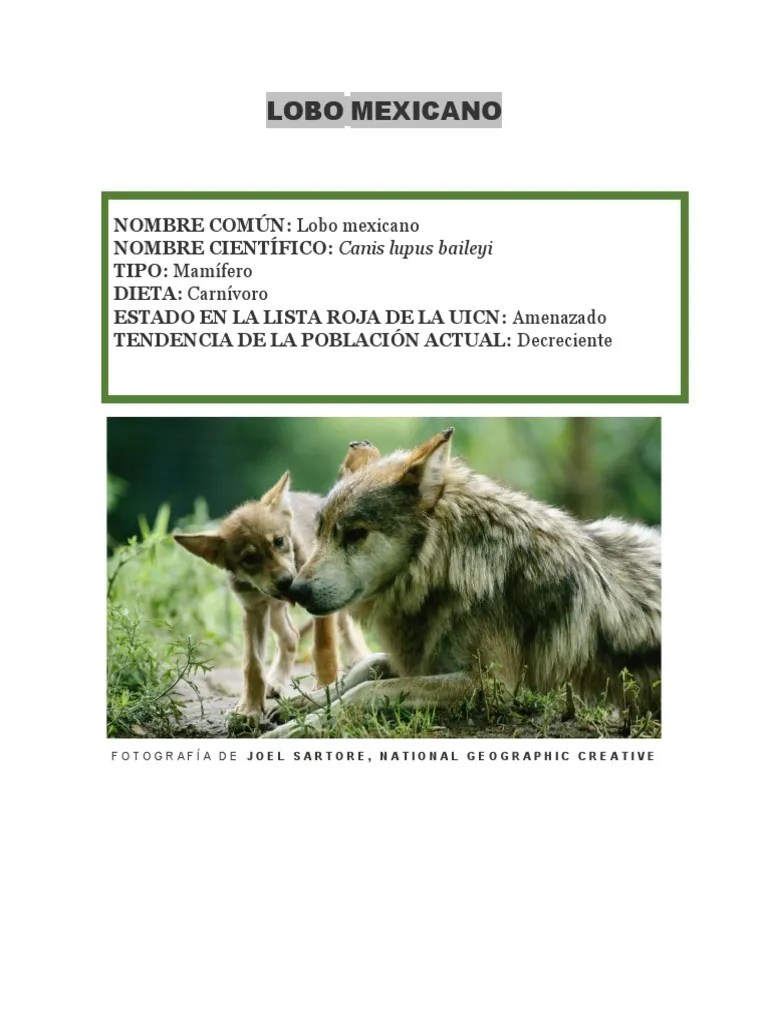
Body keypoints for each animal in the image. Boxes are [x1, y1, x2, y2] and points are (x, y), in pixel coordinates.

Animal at [174, 472, 366, 719]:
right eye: (249, 559)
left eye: (278, 541)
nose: (286, 582)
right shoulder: (253, 610)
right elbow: (253, 664)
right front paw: (249, 709)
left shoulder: (320, 603)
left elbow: (324, 646)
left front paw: (325, 686)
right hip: (274, 611)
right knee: (291, 636)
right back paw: (275, 681)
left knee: (347, 631)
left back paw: (361, 660)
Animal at [271, 429, 660, 735]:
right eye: (320, 532)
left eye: (355, 534)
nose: (295, 590)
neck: (451, 566)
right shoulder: (422, 659)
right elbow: (364, 669)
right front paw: (292, 707)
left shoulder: (493, 685)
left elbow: (367, 691)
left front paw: (293, 730)